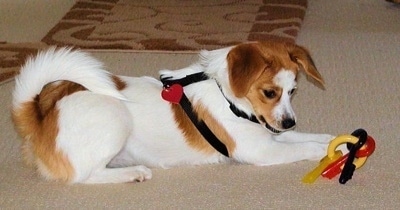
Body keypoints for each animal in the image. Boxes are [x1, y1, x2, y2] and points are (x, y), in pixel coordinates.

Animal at [11, 41, 334, 184]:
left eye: (293, 91)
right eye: (269, 92)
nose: (289, 121)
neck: (226, 95)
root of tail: (39, 117)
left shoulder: (270, 135)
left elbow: (307, 137)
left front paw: (331, 140)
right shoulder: (260, 150)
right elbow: (304, 146)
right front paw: (325, 151)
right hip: (116, 116)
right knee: (82, 175)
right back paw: (134, 173)